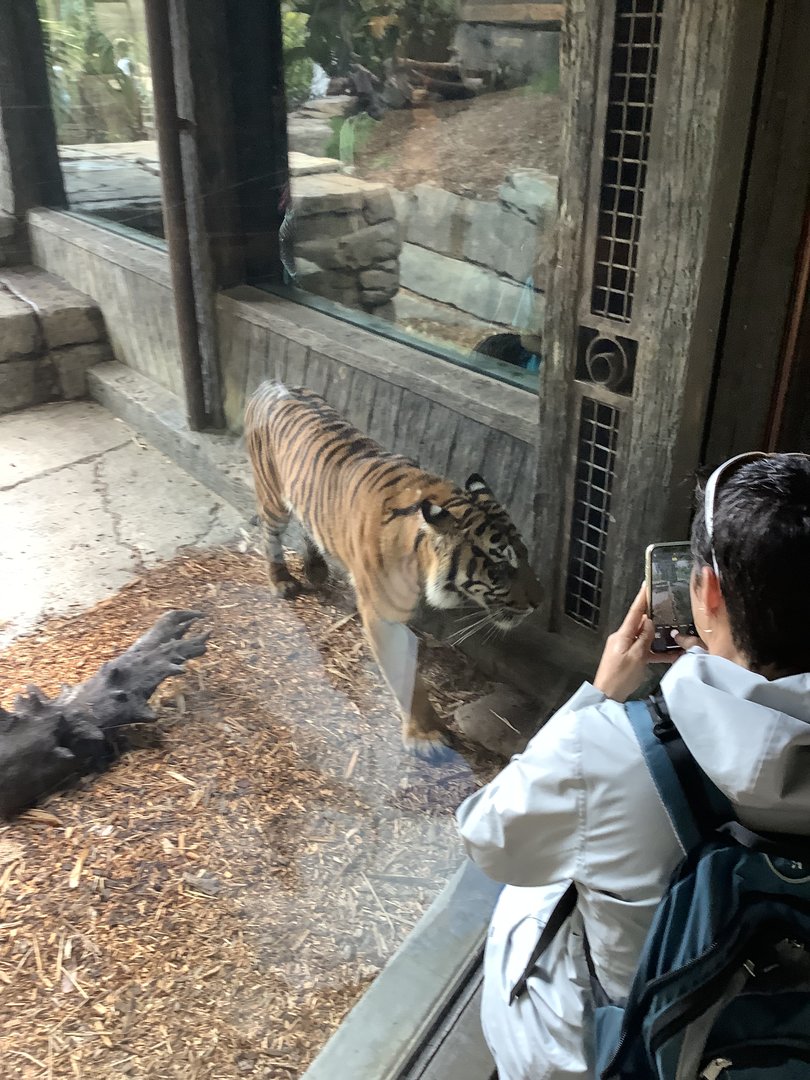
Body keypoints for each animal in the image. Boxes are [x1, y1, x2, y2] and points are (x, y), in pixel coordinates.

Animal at [244, 382, 542, 760]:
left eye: (525, 554)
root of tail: (270, 384)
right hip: (272, 498)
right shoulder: (381, 616)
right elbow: (406, 677)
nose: (538, 604)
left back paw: (315, 569)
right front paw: (426, 737)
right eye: (501, 566)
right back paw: (282, 581)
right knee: (270, 535)